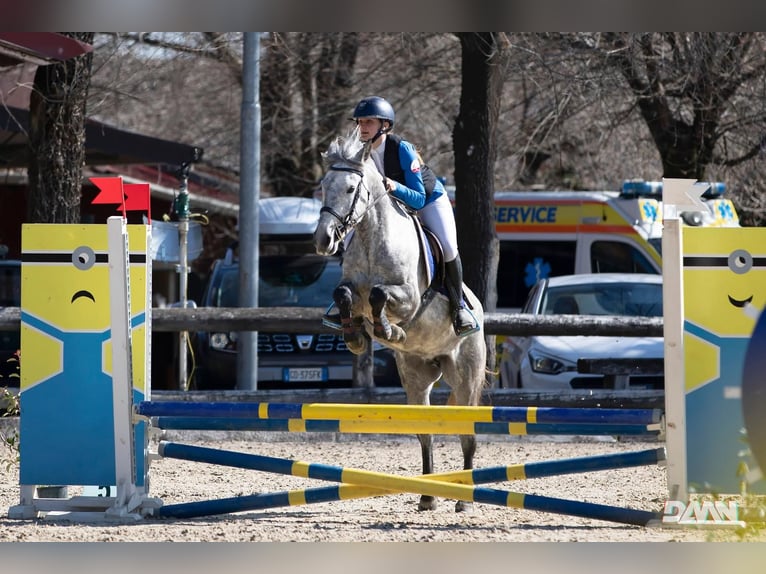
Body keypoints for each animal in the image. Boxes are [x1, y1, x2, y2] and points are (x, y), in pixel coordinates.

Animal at [313, 133, 488, 512]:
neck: (370, 238)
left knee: (467, 432)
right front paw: (355, 337)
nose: (323, 240)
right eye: (322, 186)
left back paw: (465, 501)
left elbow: (380, 295)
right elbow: (344, 295)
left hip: (465, 374)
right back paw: (426, 497)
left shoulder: (408, 297)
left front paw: (388, 329)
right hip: (416, 376)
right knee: (426, 433)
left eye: (351, 189)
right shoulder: (351, 290)